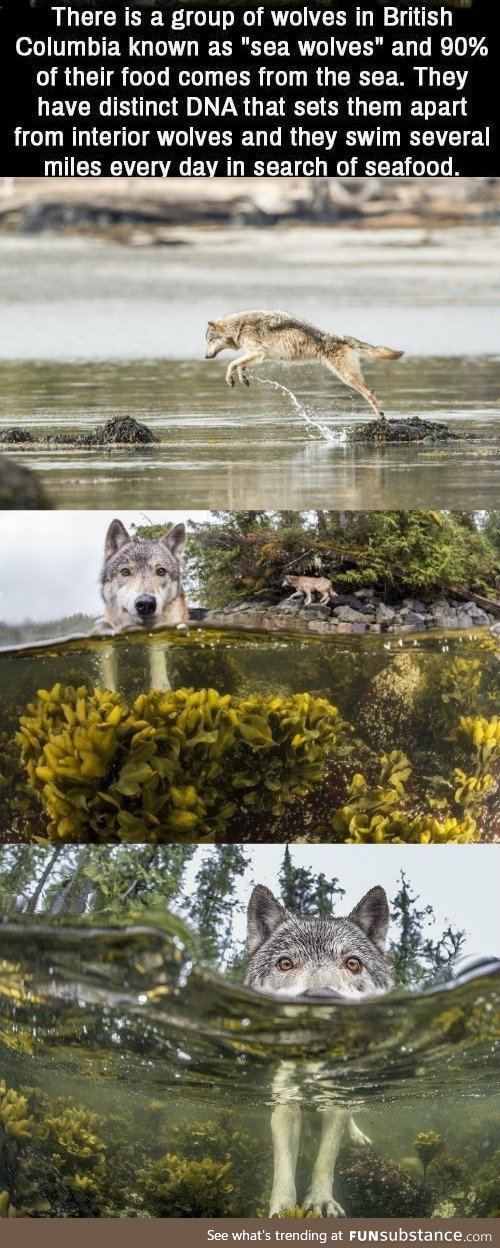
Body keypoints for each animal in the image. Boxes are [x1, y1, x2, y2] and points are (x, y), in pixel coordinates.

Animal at [204, 314, 403, 421]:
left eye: (209, 341)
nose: (205, 356)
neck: (239, 326)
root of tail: (339, 337)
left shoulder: (258, 353)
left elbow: (231, 364)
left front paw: (230, 378)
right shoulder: (256, 356)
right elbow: (239, 365)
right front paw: (242, 378)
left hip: (347, 376)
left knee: (370, 392)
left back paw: (381, 417)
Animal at [243, 883, 394, 1213]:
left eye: (353, 963)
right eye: (285, 963)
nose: (321, 998)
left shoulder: (335, 1101)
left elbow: (327, 1156)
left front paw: (321, 1200)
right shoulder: (285, 1102)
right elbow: (283, 1166)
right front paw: (282, 1210)